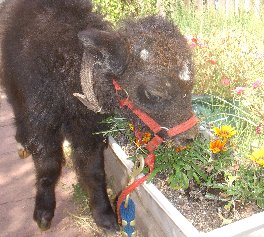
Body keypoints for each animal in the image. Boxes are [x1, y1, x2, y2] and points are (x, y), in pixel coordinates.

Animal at [0, 0, 198, 232]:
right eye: (154, 93)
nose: (190, 136)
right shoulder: (42, 124)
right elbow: (48, 165)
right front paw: (43, 214)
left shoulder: (89, 132)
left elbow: (93, 171)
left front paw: (106, 218)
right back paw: (22, 144)